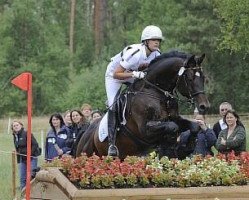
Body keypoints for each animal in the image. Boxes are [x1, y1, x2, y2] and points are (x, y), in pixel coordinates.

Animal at [76, 51, 210, 159]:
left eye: (203, 77)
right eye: (189, 78)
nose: (204, 106)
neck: (155, 92)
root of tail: (86, 132)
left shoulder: (175, 118)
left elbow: (194, 126)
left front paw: (187, 147)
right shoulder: (145, 129)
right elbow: (172, 127)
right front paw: (170, 144)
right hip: (87, 154)